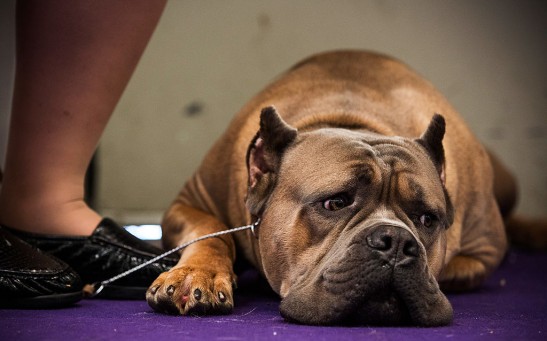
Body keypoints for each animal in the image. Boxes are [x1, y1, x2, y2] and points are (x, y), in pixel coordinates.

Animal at [147, 49, 512, 324]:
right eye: (335, 202)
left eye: (427, 219)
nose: (396, 241)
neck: (352, 121)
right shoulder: (191, 201)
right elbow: (210, 231)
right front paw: (198, 274)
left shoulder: (481, 251)